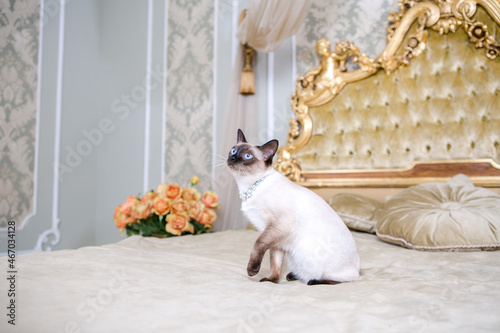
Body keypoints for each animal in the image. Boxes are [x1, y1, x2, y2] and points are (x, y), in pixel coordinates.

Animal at [227, 128, 360, 284]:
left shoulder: (278, 226)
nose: (233, 158)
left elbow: (258, 244)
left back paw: (313, 280)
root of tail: (358, 269)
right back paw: (293, 276)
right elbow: (275, 264)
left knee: (339, 279)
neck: (249, 187)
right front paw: (271, 281)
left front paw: (252, 270)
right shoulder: (275, 238)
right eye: (233, 151)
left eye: (247, 156)